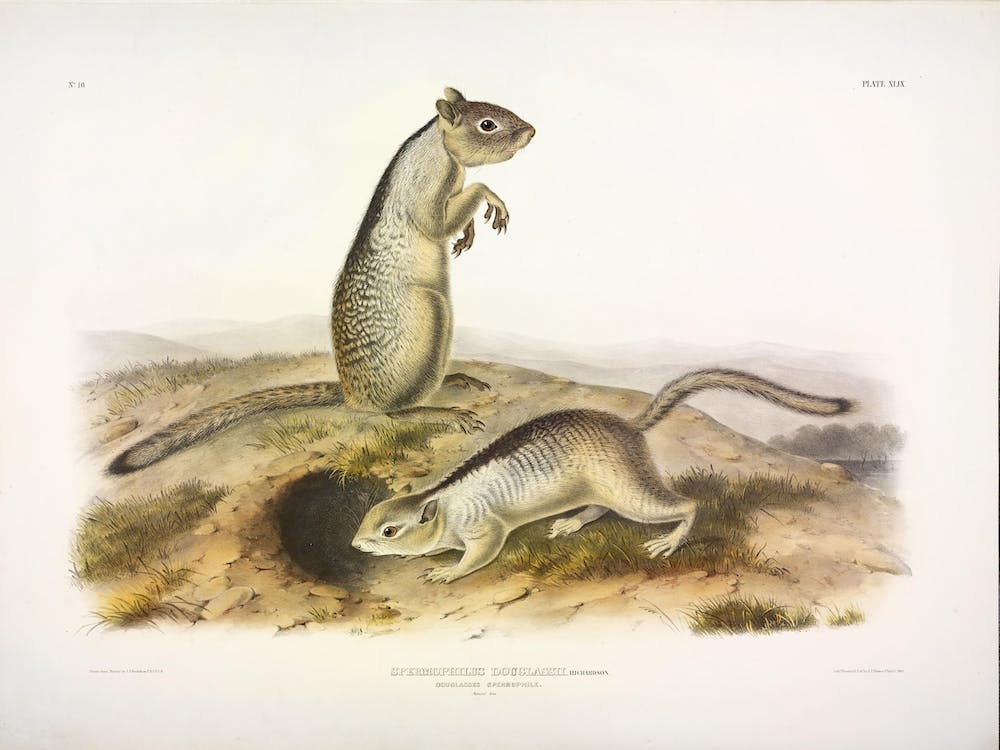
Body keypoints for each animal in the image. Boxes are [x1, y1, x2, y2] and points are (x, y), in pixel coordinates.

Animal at [108, 88, 535, 474]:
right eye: (488, 124)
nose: (532, 131)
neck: (438, 147)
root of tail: (350, 396)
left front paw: (470, 231)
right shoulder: (427, 186)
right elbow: (447, 213)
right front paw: (489, 202)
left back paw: (456, 378)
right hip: (432, 316)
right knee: (392, 414)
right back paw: (440, 412)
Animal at [351, 368, 853, 583]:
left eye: (389, 530)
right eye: (367, 520)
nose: (355, 545)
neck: (441, 501)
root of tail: (628, 427)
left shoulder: (484, 530)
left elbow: (479, 556)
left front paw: (447, 571)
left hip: (630, 491)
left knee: (688, 505)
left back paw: (670, 540)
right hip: (601, 487)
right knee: (595, 508)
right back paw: (571, 523)